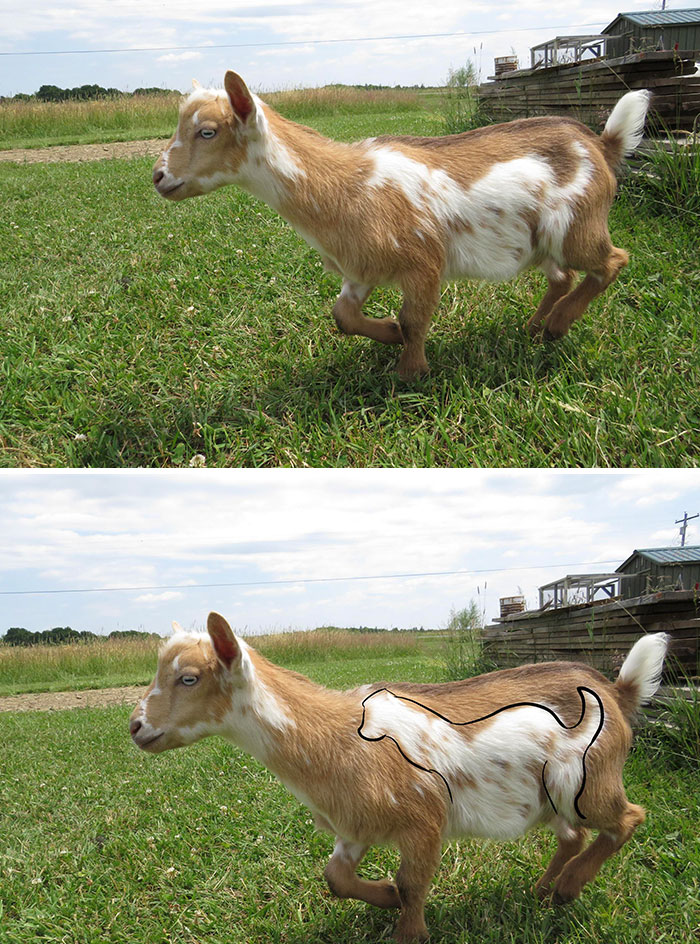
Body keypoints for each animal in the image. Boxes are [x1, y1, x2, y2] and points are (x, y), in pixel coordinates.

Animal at [130, 613, 668, 943]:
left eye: (189, 678)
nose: (136, 727)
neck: (337, 736)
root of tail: (615, 690)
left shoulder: (423, 819)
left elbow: (413, 883)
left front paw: (409, 930)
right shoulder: (357, 824)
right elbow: (336, 877)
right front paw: (384, 895)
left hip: (588, 782)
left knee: (627, 819)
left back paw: (568, 889)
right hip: (552, 797)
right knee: (574, 836)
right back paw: (543, 891)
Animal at [152, 74, 651, 379]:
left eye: (208, 131)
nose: (158, 177)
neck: (346, 186)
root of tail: (600, 144)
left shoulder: (423, 262)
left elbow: (416, 319)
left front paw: (411, 373)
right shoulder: (362, 267)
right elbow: (343, 316)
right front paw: (389, 333)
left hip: (578, 226)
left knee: (612, 262)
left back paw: (558, 326)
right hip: (543, 241)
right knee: (562, 276)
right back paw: (533, 327)